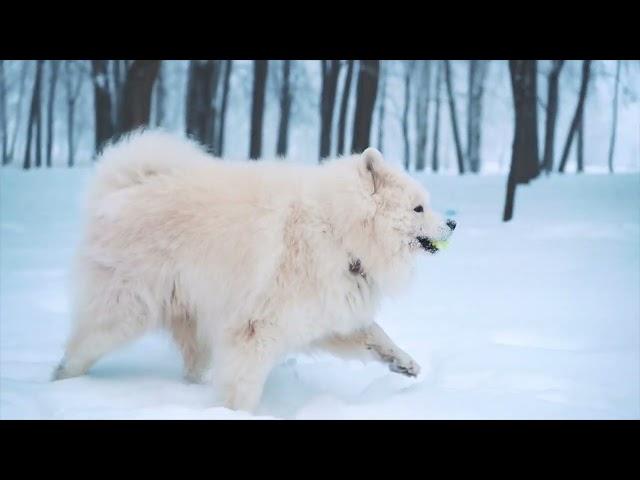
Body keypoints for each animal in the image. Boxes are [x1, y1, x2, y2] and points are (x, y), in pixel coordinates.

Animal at [53, 129, 456, 410]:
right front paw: (233, 412)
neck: (337, 231)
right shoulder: (257, 328)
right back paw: (61, 382)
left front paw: (404, 363)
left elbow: (376, 335)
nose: (453, 223)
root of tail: (119, 190)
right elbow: (243, 385)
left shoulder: (323, 315)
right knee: (80, 348)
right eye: (418, 208)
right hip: (124, 311)